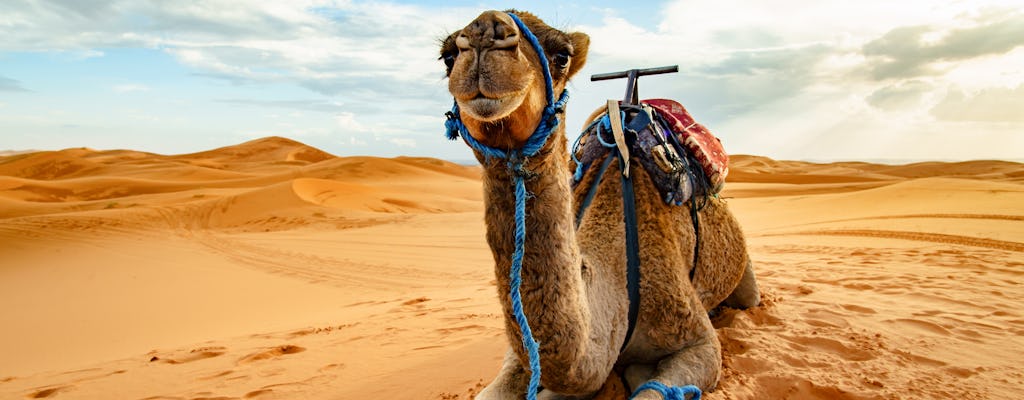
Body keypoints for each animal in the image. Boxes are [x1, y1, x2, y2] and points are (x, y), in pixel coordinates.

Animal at [440, 10, 761, 400]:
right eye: (447, 57)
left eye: (561, 56)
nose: (487, 32)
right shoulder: (522, 356)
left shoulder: (698, 341)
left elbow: (654, 386)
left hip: (745, 278)